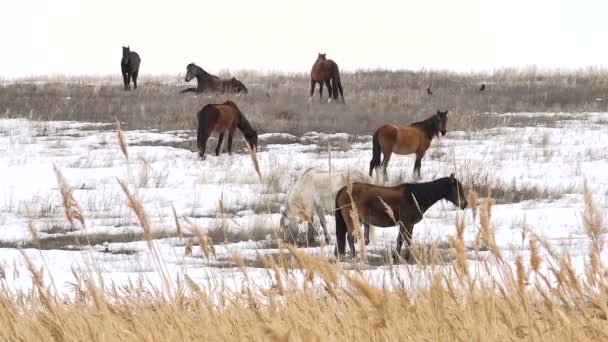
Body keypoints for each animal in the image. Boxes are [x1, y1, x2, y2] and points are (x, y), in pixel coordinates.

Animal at [334, 175, 468, 260]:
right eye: (457, 189)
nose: (465, 204)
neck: (415, 196)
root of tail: (343, 189)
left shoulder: (410, 224)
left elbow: (407, 240)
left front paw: (406, 257)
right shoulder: (405, 223)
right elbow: (402, 240)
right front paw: (398, 257)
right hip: (352, 219)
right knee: (350, 237)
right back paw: (354, 257)